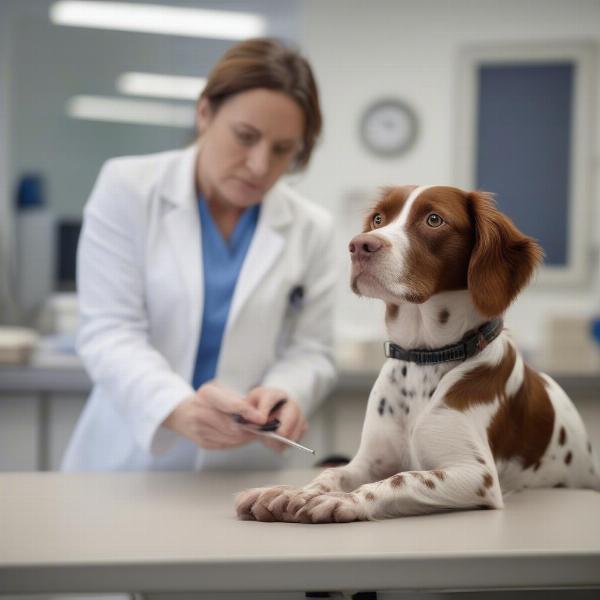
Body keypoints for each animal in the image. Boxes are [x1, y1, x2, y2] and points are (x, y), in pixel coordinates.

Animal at [236, 185, 600, 524]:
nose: (359, 245)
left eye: (434, 219)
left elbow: (400, 478)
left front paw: (343, 500)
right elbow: (332, 472)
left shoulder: (476, 475)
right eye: (378, 219)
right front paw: (291, 491)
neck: (425, 358)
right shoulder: (369, 461)